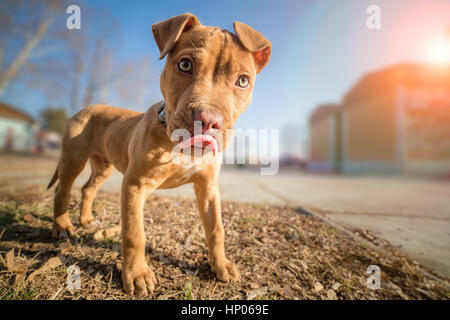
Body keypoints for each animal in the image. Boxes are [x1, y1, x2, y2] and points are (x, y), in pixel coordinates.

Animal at [48, 13, 270, 296]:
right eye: (185, 65)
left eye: (243, 81)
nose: (208, 121)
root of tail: (86, 107)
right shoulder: (134, 185)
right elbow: (134, 233)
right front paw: (137, 275)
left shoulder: (208, 188)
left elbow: (216, 228)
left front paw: (220, 264)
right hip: (73, 158)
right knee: (62, 190)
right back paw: (62, 226)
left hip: (103, 164)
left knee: (88, 188)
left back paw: (86, 220)